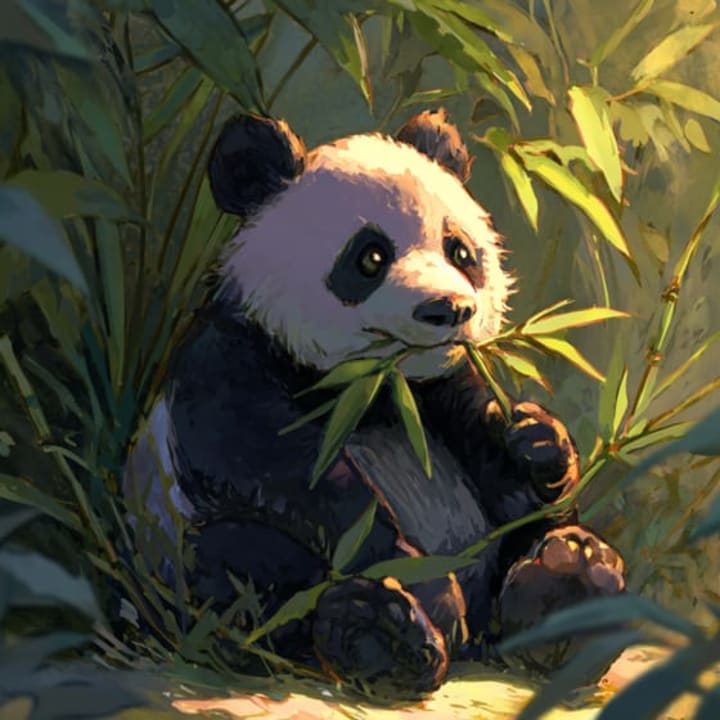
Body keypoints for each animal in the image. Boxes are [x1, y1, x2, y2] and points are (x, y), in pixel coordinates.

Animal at [124, 109, 625, 699]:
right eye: (370, 257)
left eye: (460, 251)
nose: (449, 309)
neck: (378, 389)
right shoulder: (229, 359)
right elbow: (291, 474)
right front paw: (431, 593)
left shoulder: (444, 388)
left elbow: (504, 467)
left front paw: (539, 444)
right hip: (179, 554)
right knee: (239, 570)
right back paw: (380, 634)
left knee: (538, 548)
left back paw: (568, 583)